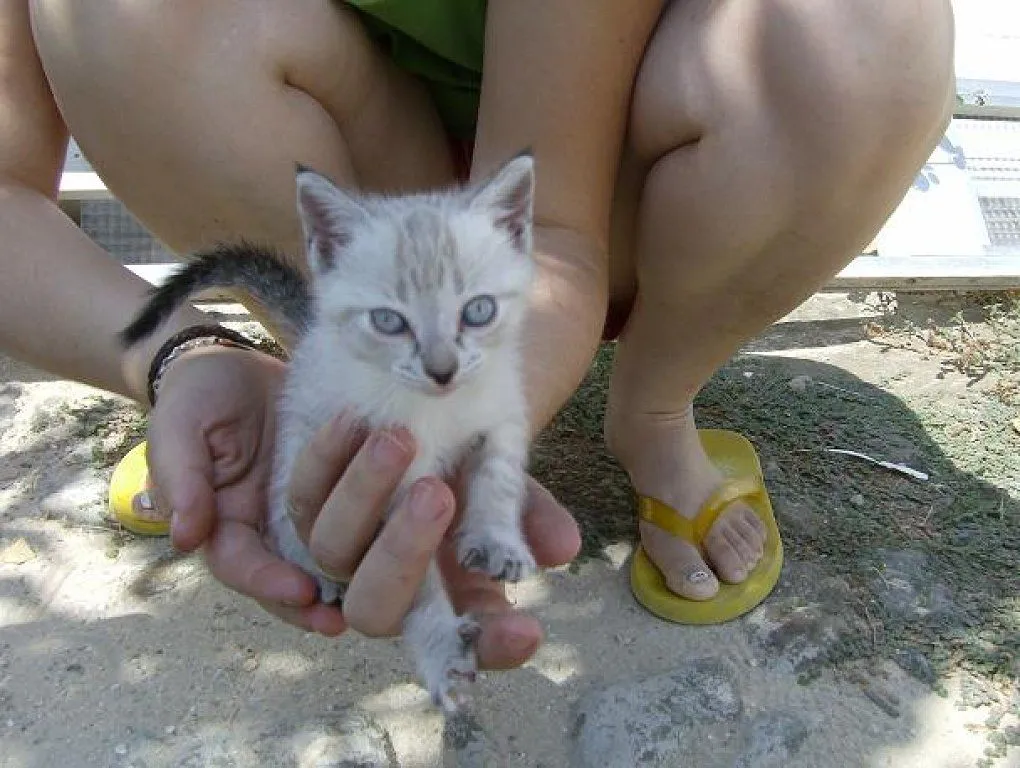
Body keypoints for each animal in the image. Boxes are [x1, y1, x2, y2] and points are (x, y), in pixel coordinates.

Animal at [120, 156, 538, 713]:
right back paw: (313, 567)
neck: (440, 408)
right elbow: (416, 580)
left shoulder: (503, 410)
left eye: (478, 310)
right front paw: (441, 649)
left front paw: (497, 540)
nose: (442, 371)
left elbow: (500, 476)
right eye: (388, 321)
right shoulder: (384, 476)